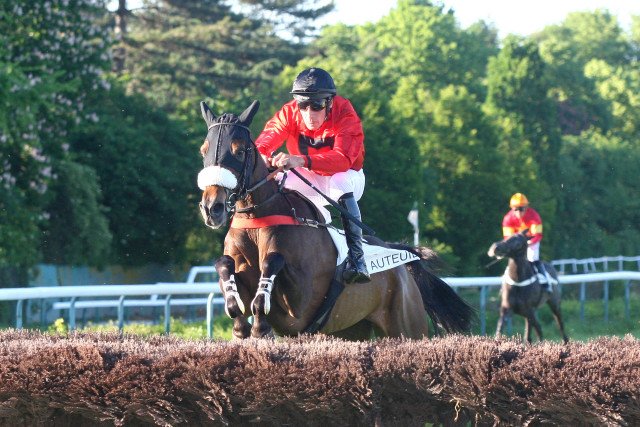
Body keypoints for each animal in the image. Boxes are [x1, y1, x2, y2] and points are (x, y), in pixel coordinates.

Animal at [197, 99, 475, 340]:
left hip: (408, 326)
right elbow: (225, 267)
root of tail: (404, 263)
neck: (257, 218)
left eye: (239, 151)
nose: (212, 208)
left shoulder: (298, 309)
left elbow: (272, 263)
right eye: (204, 150)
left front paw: (260, 323)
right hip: (351, 330)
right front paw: (240, 320)